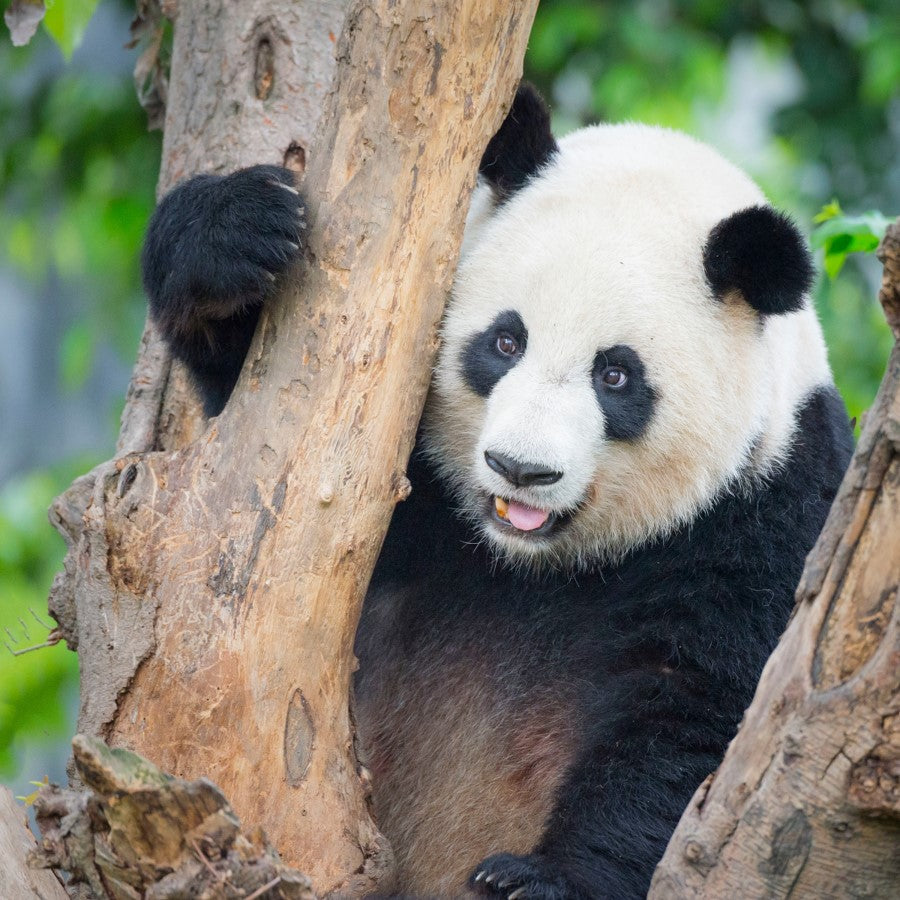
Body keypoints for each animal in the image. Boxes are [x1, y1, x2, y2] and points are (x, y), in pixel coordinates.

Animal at [139, 86, 852, 900]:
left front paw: (540, 879)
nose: (520, 469)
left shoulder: (769, 508)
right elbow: (277, 440)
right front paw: (235, 232)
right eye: (505, 342)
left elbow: (699, 713)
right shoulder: (419, 497)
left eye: (616, 375)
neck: (539, 561)